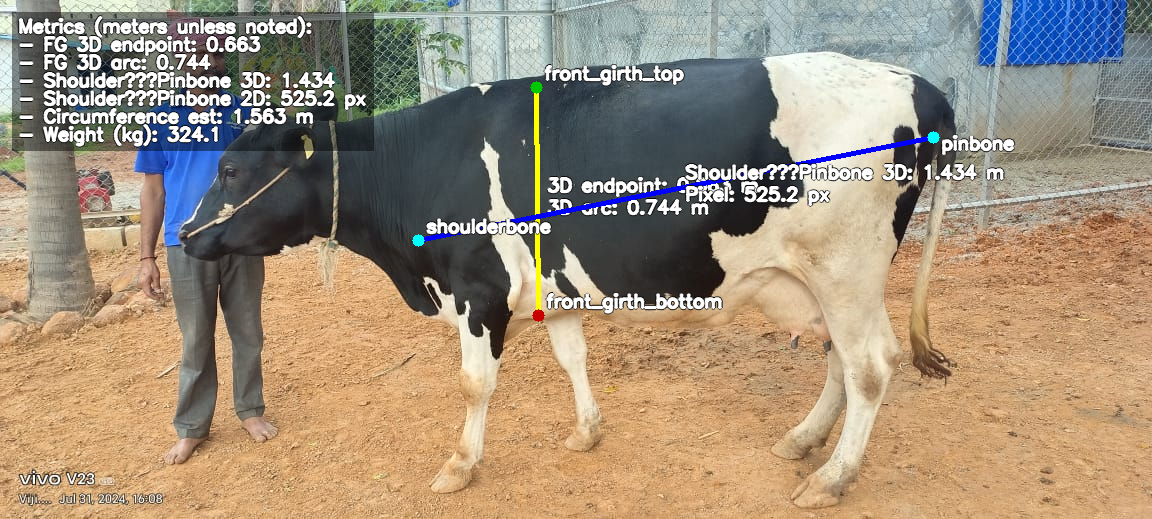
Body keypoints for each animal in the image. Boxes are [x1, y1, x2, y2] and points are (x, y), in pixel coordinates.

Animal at [179, 51, 956, 508]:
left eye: (232, 170)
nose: (185, 237)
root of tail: (917, 84)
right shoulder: (554, 288)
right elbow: (573, 357)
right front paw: (587, 432)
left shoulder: (477, 290)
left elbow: (474, 385)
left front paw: (460, 464)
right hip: (825, 278)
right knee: (839, 360)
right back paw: (802, 441)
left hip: (846, 266)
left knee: (870, 366)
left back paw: (831, 477)